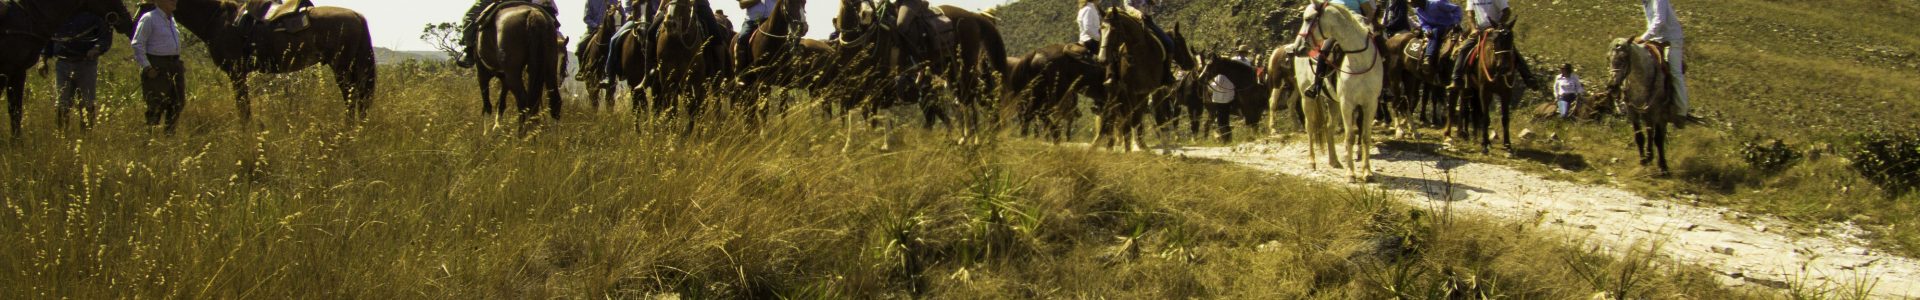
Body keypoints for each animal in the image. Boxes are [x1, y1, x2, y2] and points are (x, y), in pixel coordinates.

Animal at [170, 0, 376, 126]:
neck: (218, 19)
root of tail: (357, 15)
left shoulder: (237, 73)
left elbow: (243, 109)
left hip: (343, 68)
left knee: (352, 99)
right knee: (361, 100)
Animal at [470, 2, 560, 130]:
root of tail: (533, 14)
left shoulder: (482, 73)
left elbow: (487, 105)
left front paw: (487, 131)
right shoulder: (503, 77)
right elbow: (501, 102)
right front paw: (496, 127)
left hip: (513, 75)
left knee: (523, 102)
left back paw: (522, 133)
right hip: (550, 67)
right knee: (553, 102)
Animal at [1290, 3, 1382, 181]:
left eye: (1308, 19)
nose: (1298, 48)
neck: (1360, 60)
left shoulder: (1370, 104)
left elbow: (1366, 136)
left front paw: (1367, 172)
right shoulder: (1347, 104)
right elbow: (1350, 137)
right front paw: (1351, 174)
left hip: (1333, 102)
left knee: (1329, 127)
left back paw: (1334, 161)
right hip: (1307, 98)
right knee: (1310, 127)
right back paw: (1311, 162)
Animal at [1605, 37, 1681, 173]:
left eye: (1624, 57)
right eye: (1608, 58)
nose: (1612, 87)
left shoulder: (1657, 111)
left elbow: (1658, 138)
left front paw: (1663, 166)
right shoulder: (1632, 110)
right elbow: (1639, 136)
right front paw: (1643, 160)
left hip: (1659, 114)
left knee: (1658, 134)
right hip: (1647, 113)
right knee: (1650, 131)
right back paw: (1649, 155)